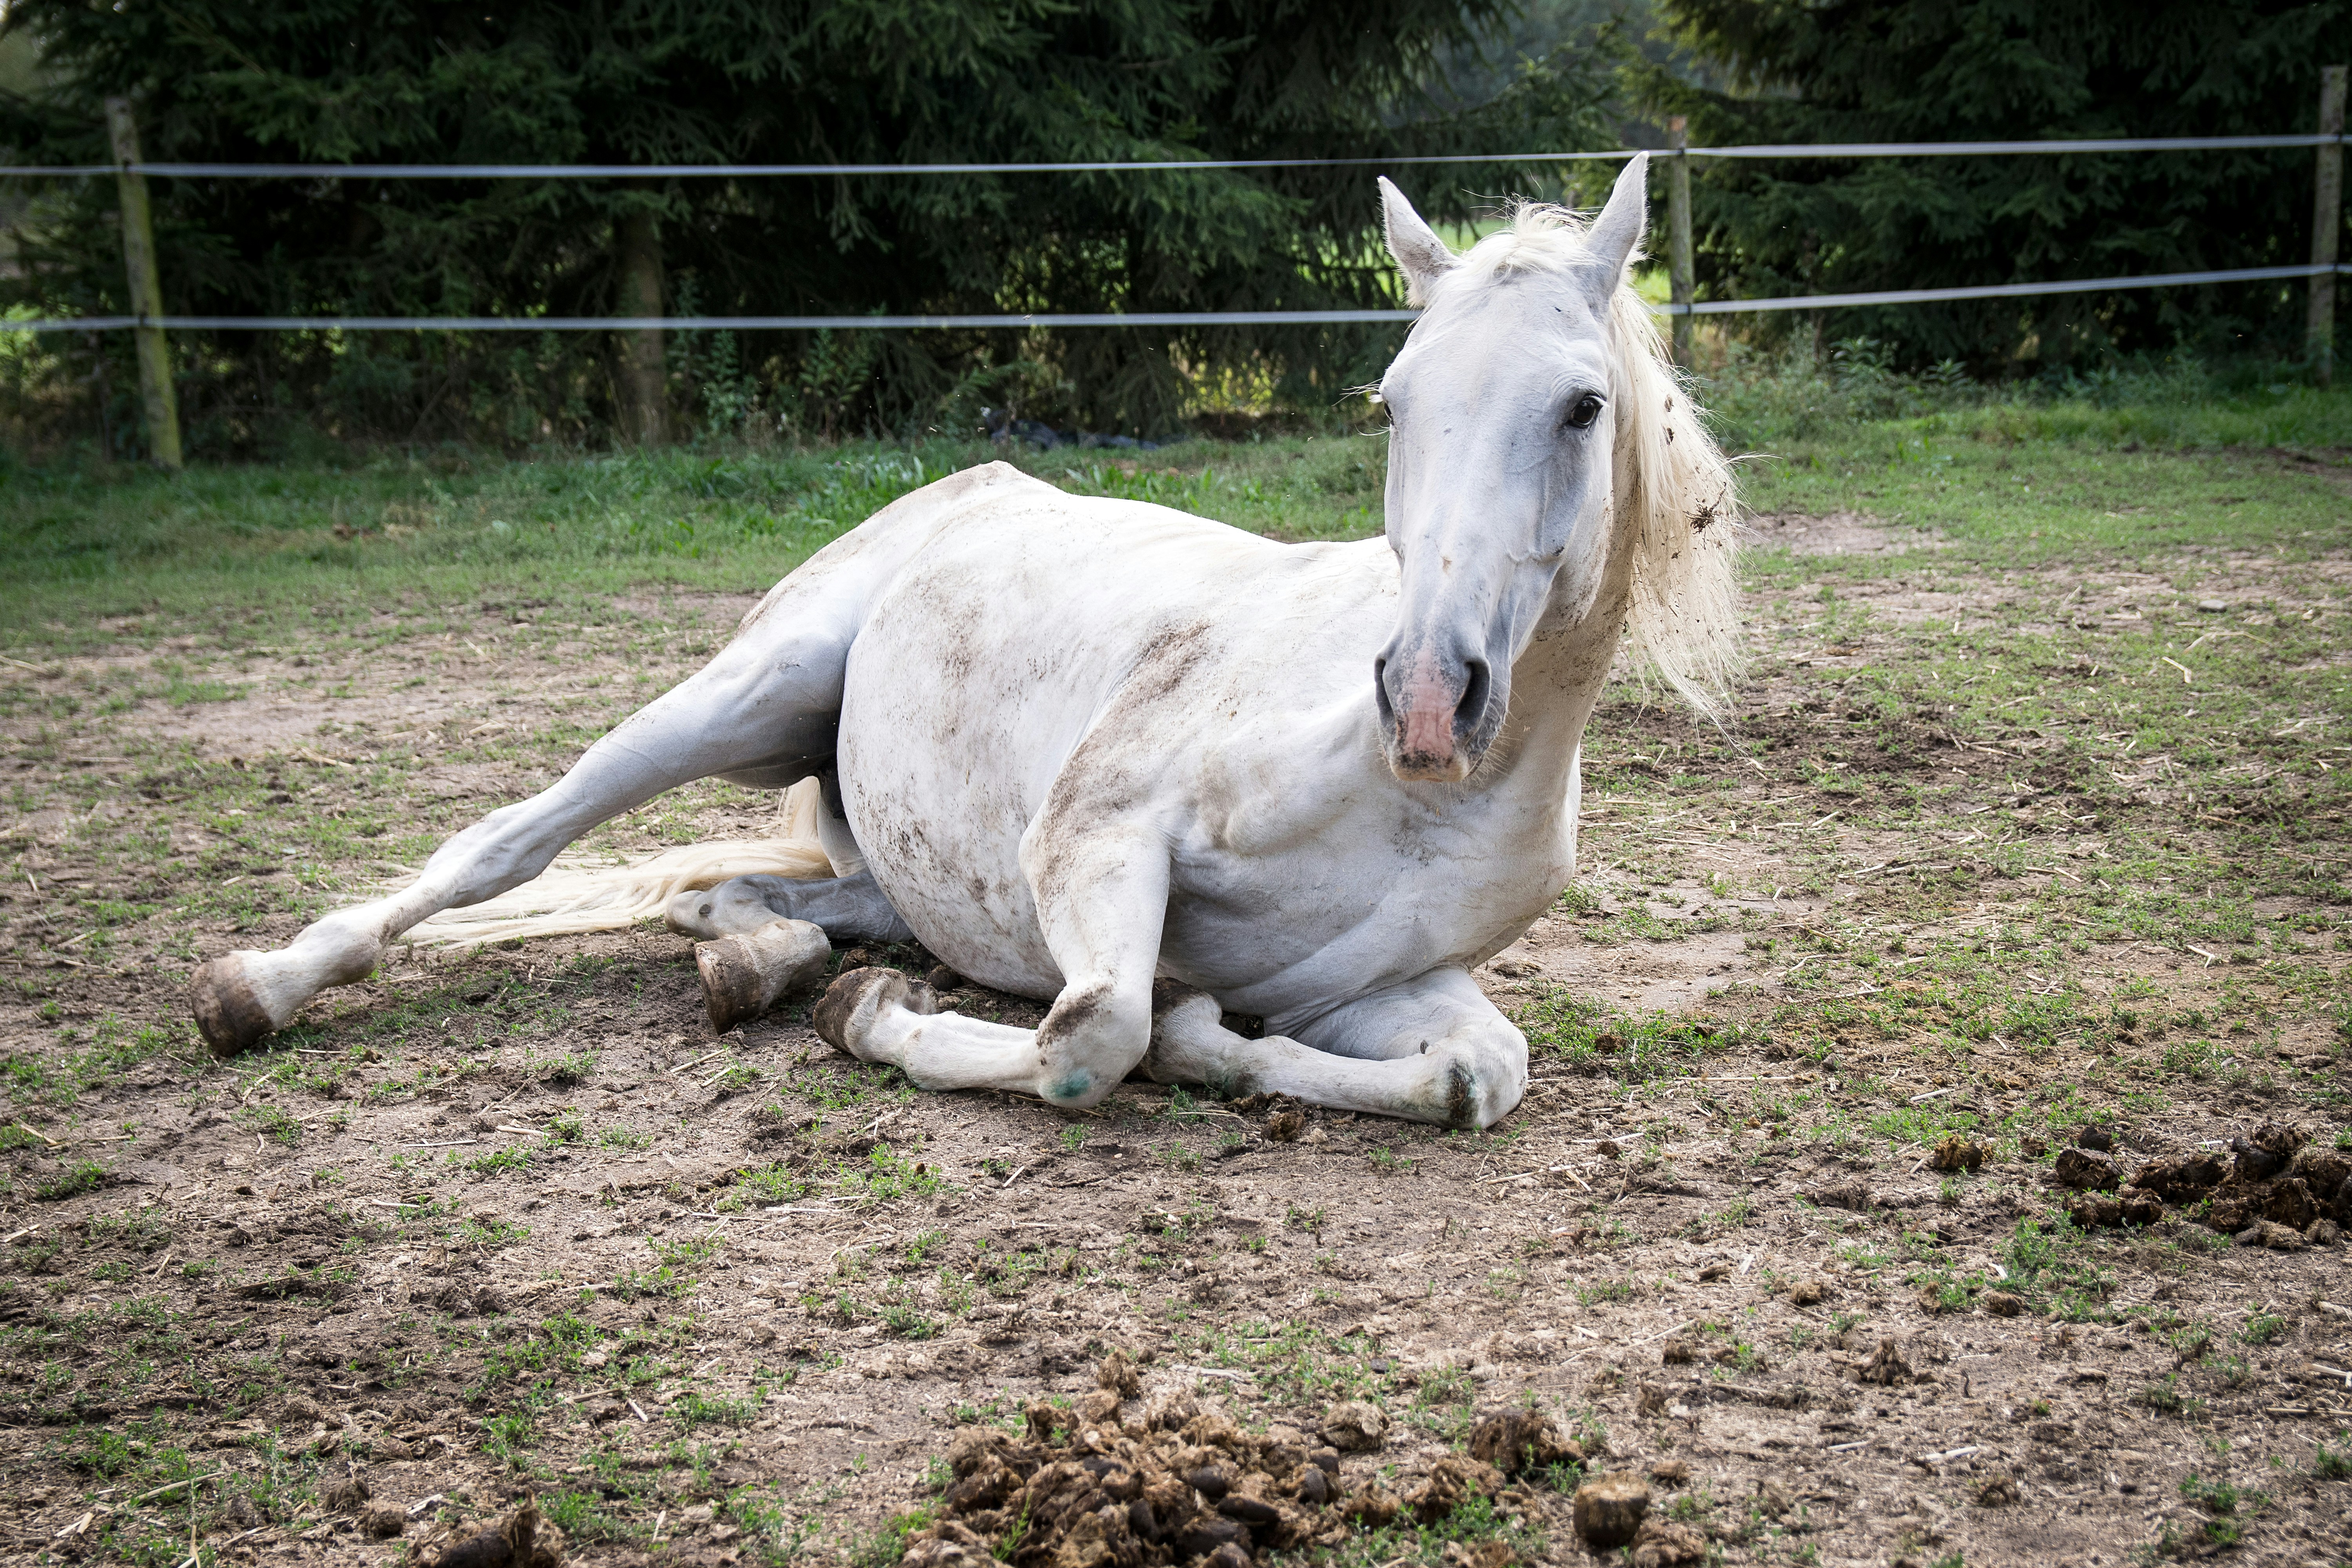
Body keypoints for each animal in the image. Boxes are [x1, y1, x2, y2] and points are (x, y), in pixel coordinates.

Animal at [186, 155, 1739, 1130]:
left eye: (1581, 406)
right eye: (1393, 399)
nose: (1423, 700)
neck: (1418, 799)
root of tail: (969, 484)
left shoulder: (1377, 987)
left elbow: (1479, 1073)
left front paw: (1209, 1035)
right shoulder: (1092, 836)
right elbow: (1092, 1037)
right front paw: (882, 1025)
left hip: (875, 858)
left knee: (752, 898)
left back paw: (747, 960)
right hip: (743, 696)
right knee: (504, 845)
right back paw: (257, 989)